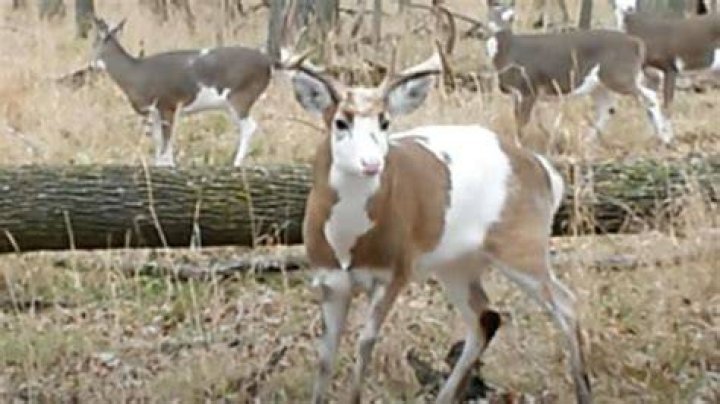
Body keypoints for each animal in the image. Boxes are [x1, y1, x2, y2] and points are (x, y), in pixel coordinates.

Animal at [90, 17, 274, 167]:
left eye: (94, 44)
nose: (91, 65)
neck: (135, 74)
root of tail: (267, 62)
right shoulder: (154, 112)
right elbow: (159, 141)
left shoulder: (167, 104)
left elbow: (167, 141)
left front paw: (168, 165)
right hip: (232, 103)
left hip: (241, 95)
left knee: (250, 126)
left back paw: (236, 163)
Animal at [284, 40, 592, 403]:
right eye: (340, 122)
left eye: (384, 122)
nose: (372, 164)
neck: (348, 244)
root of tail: (544, 171)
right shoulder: (328, 279)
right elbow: (325, 356)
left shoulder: (394, 272)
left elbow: (364, 343)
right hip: (455, 263)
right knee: (484, 317)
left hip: (522, 244)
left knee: (567, 304)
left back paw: (584, 392)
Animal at [483, 0, 673, 145]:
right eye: (494, 8)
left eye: (510, 11)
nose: (509, 17)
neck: (509, 50)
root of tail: (636, 43)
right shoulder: (518, 92)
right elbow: (517, 118)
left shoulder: (529, 87)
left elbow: (522, 122)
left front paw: (518, 146)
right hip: (600, 83)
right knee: (608, 106)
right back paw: (589, 140)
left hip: (618, 73)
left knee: (649, 94)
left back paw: (665, 137)